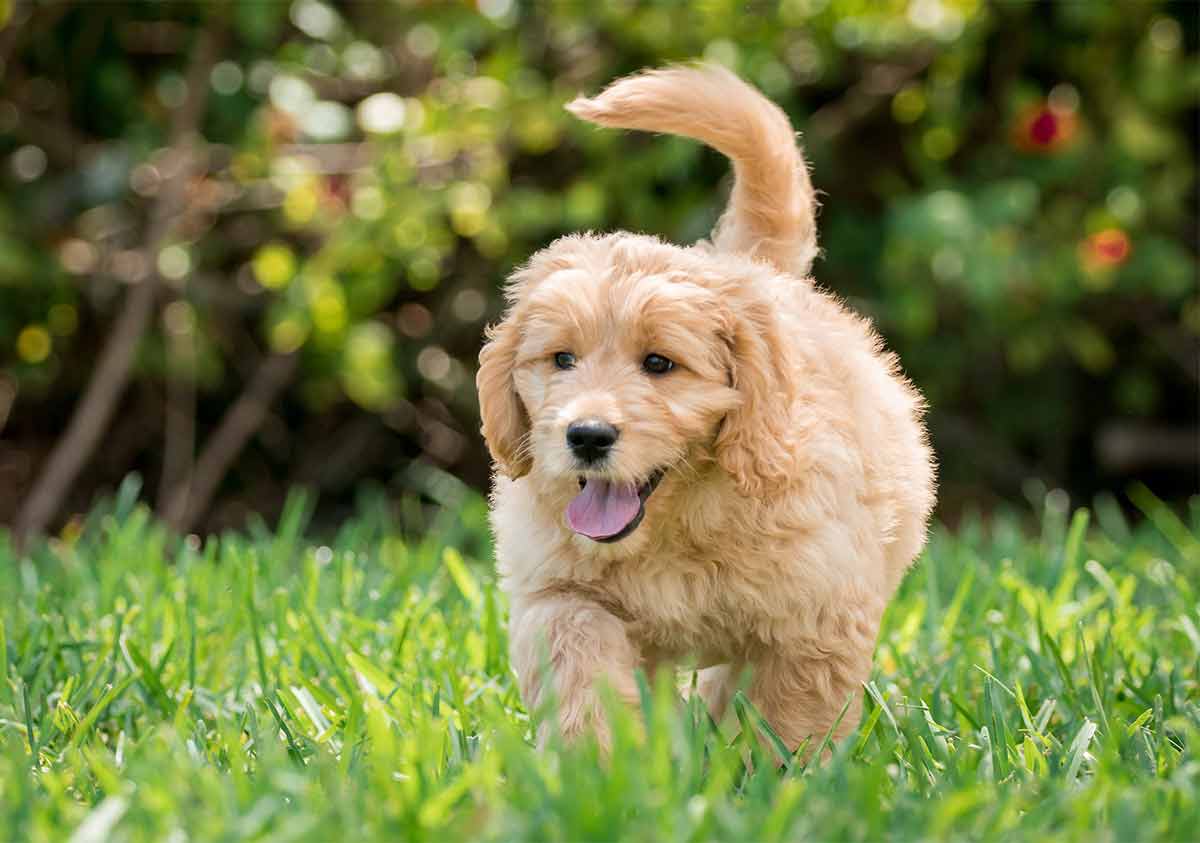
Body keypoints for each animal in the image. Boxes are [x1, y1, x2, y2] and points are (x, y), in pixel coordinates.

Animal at [477, 66, 936, 754]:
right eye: (561, 359)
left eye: (659, 363)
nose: (587, 436)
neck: (679, 523)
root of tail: (749, 264)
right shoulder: (559, 590)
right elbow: (579, 660)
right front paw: (596, 762)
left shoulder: (817, 617)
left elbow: (791, 718)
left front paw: (781, 777)